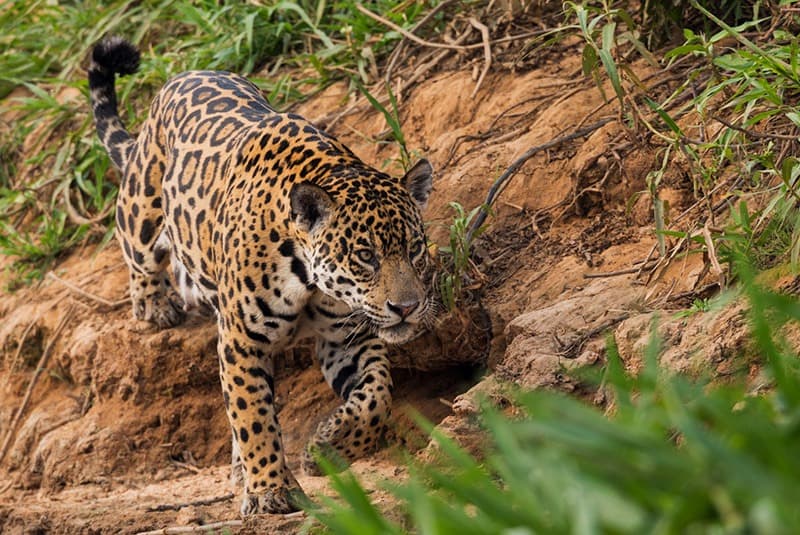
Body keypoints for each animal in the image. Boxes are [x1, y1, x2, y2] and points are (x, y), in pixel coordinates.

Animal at [88, 36, 435, 516]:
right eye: (366, 256)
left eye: (415, 249)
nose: (408, 308)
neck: (307, 276)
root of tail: (181, 76)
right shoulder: (241, 342)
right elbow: (253, 416)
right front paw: (271, 490)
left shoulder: (346, 337)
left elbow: (377, 393)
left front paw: (330, 446)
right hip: (142, 206)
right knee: (138, 249)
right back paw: (154, 304)